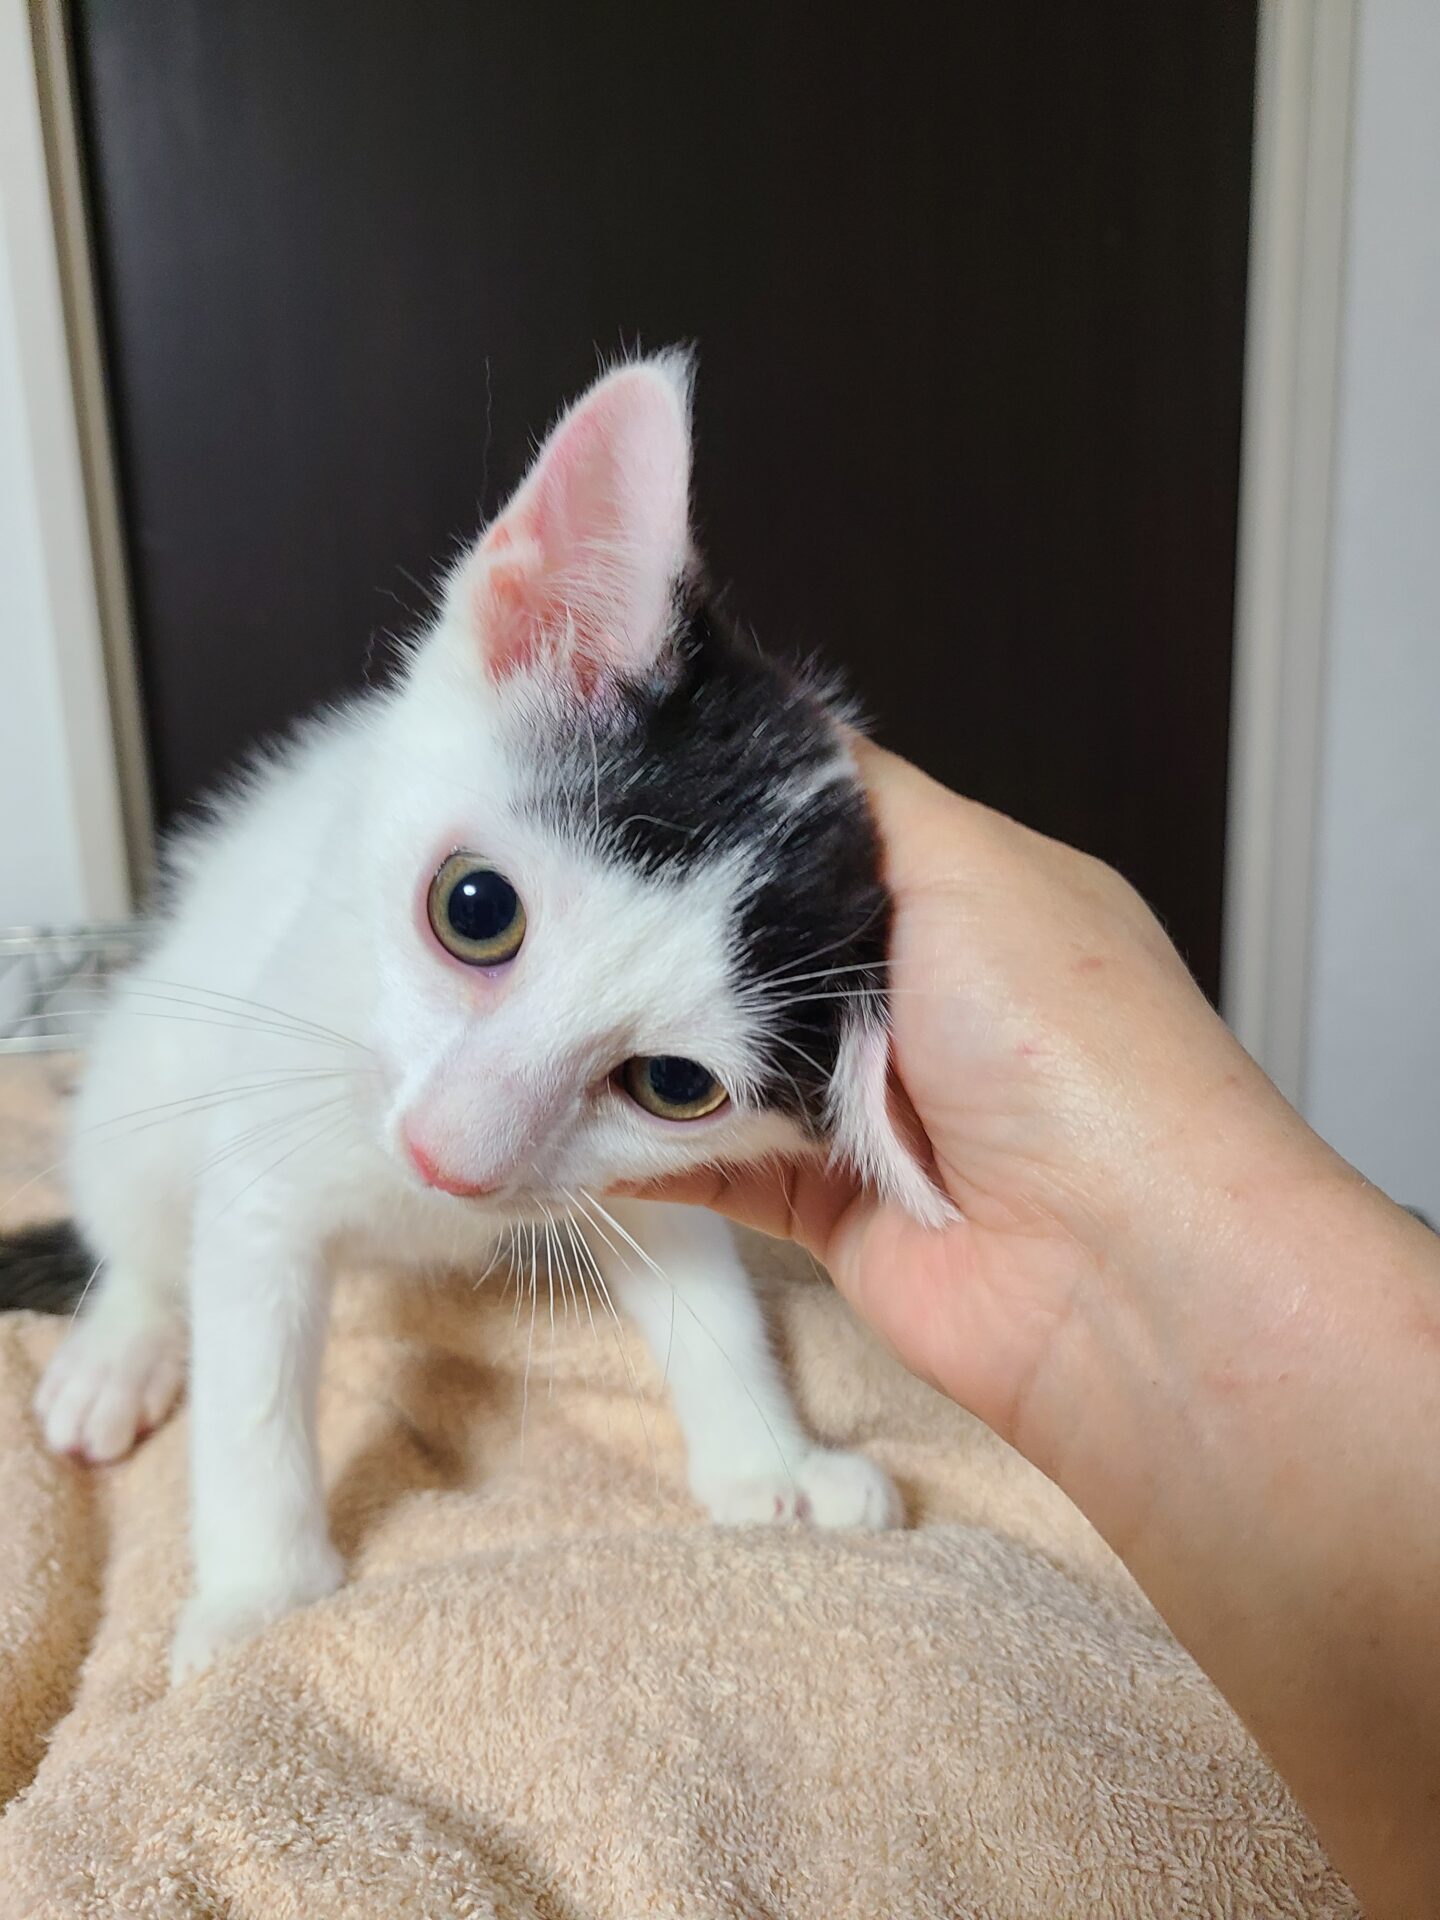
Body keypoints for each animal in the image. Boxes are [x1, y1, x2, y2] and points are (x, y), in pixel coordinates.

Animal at [0, 354, 945, 1684]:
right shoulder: (268, 1148)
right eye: (475, 908)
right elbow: (249, 1379)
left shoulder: (623, 1177)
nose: (448, 1159)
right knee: (131, 1211)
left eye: (675, 1086)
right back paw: (118, 1347)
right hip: (153, 1061)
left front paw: (776, 1465)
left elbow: (704, 1289)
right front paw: (258, 1597)